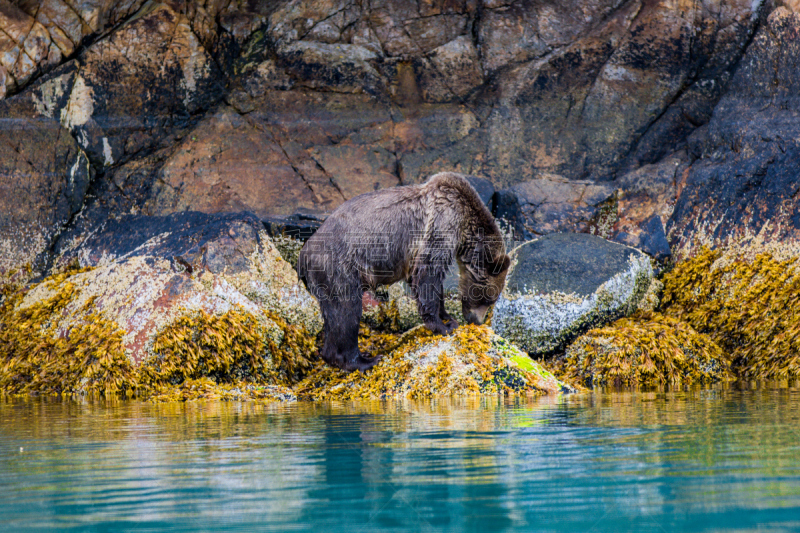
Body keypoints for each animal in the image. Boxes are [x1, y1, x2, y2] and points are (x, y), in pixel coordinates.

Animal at [296, 170, 510, 370]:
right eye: (489, 300)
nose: (477, 321)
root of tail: (303, 255)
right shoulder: (441, 225)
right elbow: (427, 274)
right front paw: (443, 326)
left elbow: (428, 282)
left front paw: (448, 317)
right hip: (340, 268)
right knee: (346, 312)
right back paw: (364, 360)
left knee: (334, 317)